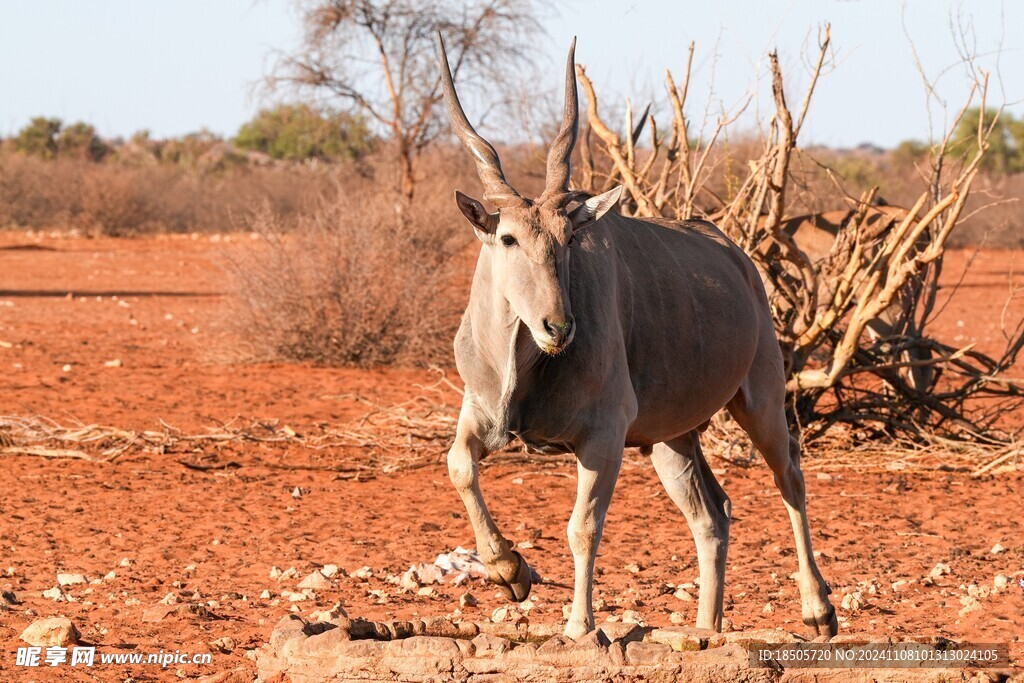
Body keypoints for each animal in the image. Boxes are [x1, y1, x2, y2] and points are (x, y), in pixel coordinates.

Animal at [436, 37, 835, 643]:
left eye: (569, 238)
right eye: (507, 238)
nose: (559, 327)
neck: (524, 364)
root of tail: (736, 257)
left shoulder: (603, 437)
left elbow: (583, 527)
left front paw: (579, 625)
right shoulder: (479, 415)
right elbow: (460, 466)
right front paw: (511, 571)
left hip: (759, 399)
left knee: (789, 476)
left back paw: (817, 609)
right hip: (671, 441)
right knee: (713, 514)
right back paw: (706, 629)